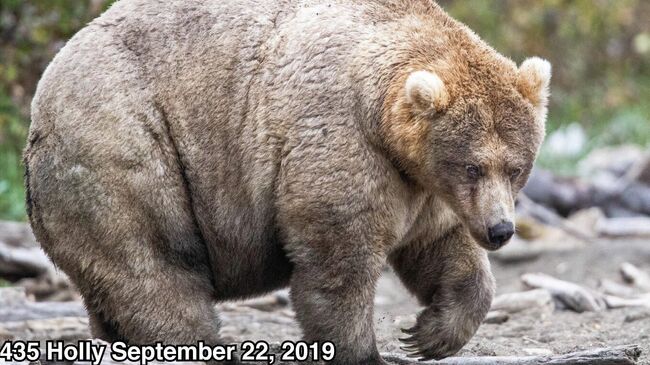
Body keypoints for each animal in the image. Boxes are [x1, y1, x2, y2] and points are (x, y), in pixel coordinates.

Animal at [26, 0, 548, 362]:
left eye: (516, 167)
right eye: (473, 166)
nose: (501, 230)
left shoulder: (424, 185)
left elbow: (442, 248)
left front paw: (429, 333)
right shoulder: (340, 138)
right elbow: (338, 260)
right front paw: (363, 350)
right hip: (125, 148)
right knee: (154, 267)